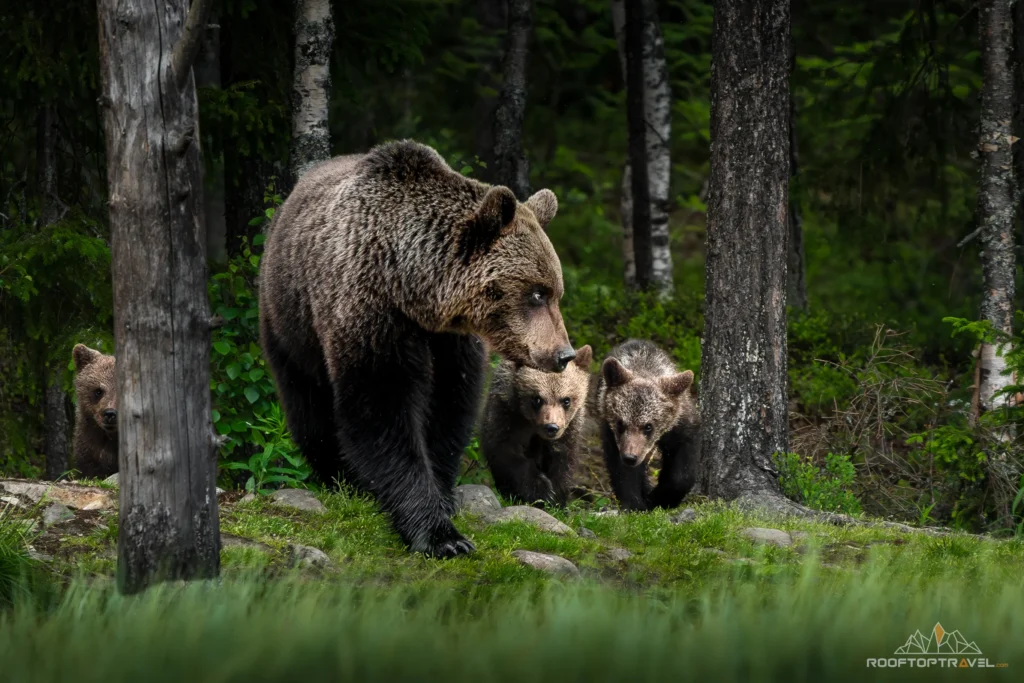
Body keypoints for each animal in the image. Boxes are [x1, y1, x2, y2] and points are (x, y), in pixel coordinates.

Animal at [258, 140, 577, 559]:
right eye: (537, 293)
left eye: (555, 292)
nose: (563, 354)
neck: (410, 287)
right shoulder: (370, 313)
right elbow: (382, 409)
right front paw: (442, 536)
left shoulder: (452, 342)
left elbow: (449, 407)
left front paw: (443, 498)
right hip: (289, 320)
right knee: (308, 403)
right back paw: (338, 477)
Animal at [480, 344, 593, 507]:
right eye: (537, 399)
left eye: (566, 400)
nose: (551, 427)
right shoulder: (506, 412)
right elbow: (506, 451)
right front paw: (541, 491)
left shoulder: (570, 428)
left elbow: (563, 459)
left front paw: (557, 498)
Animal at [595, 339, 699, 512]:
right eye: (620, 423)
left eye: (648, 426)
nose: (630, 457)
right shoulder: (612, 434)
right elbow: (622, 471)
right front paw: (636, 502)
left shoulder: (681, 426)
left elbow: (682, 472)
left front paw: (661, 497)